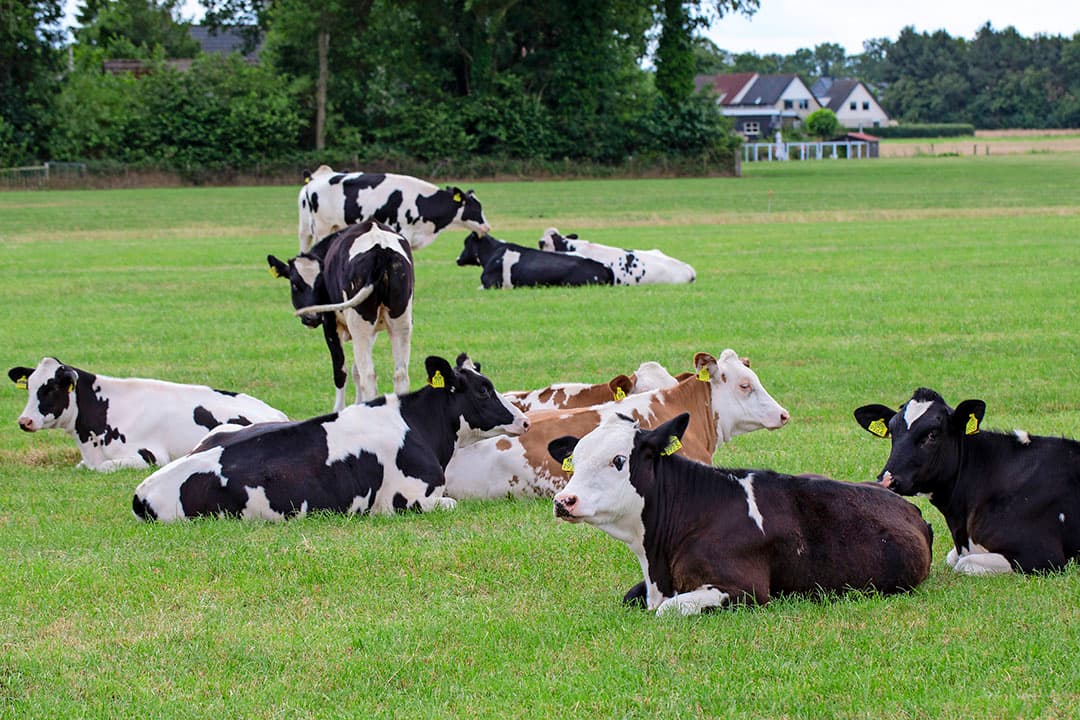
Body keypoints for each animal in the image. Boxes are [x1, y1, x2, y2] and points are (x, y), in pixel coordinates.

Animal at [132, 354, 529, 522]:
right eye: (483, 390)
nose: (524, 421)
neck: (418, 426)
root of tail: (143, 492)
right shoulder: (408, 501)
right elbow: (451, 503)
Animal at [269, 220, 413, 411]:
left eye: (319, 283)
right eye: (295, 283)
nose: (311, 317)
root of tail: (380, 250)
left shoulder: (330, 324)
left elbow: (340, 371)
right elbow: (355, 371)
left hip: (360, 326)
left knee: (368, 376)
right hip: (400, 324)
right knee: (400, 375)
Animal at [854, 388, 1080, 575]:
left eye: (932, 434)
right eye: (892, 432)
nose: (886, 480)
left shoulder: (1042, 555)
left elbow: (963, 564)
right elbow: (952, 558)